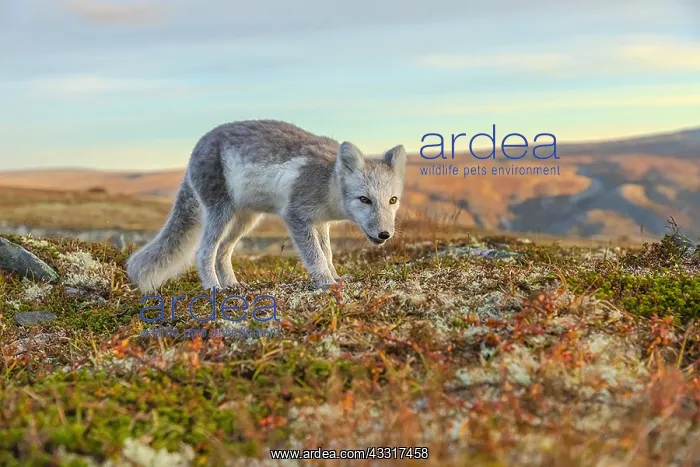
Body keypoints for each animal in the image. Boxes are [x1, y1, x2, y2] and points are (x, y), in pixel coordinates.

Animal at [126, 119, 407, 292]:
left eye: (392, 200)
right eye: (364, 199)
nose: (385, 234)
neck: (328, 181)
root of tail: (195, 148)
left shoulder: (320, 222)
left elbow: (327, 253)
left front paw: (336, 277)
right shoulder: (295, 216)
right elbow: (315, 256)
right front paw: (327, 283)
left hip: (245, 220)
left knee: (222, 252)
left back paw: (232, 285)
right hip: (220, 213)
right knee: (204, 252)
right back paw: (214, 288)